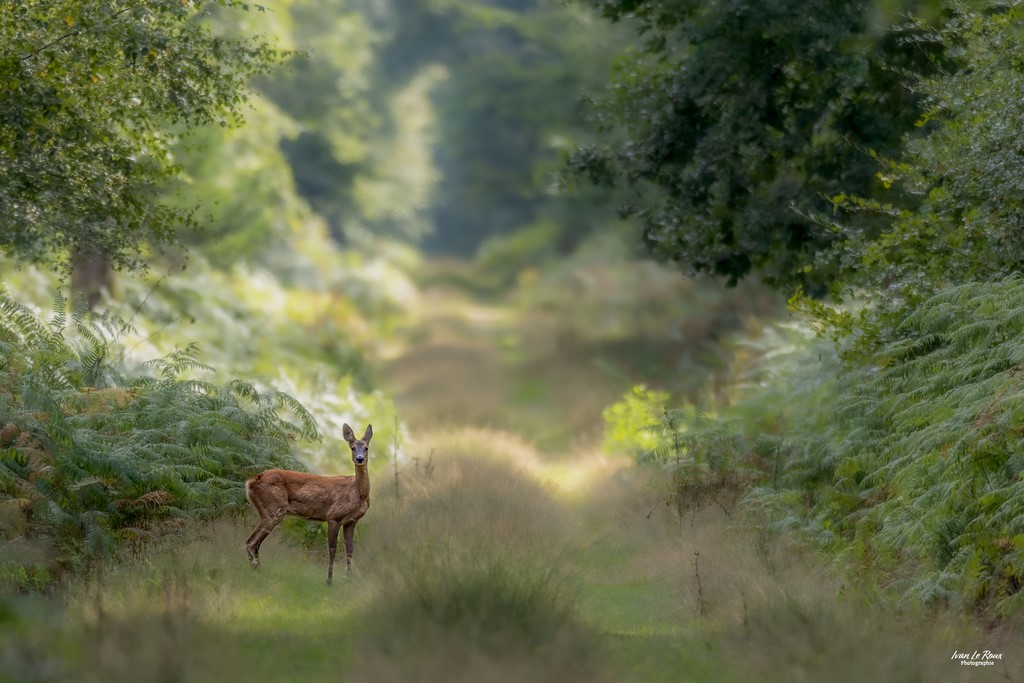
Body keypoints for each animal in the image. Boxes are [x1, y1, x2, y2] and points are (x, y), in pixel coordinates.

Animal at [243, 423, 372, 585]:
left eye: (366, 447)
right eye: (353, 447)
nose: (360, 459)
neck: (358, 492)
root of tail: (250, 482)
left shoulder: (351, 521)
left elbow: (349, 550)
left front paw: (348, 580)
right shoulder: (333, 516)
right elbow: (332, 550)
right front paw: (329, 581)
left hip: (269, 511)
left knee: (255, 542)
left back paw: (258, 571)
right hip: (273, 510)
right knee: (251, 542)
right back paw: (257, 573)